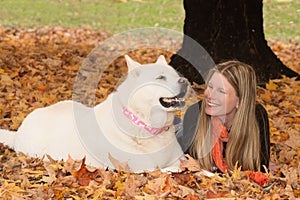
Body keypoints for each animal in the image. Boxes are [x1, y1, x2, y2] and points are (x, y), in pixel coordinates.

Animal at [0, 54, 190, 172]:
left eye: (176, 74)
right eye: (160, 78)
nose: (185, 81)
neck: (143, 122)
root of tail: (18, 131)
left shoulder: (178, 158)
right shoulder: (144, 168)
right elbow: (174, 170)